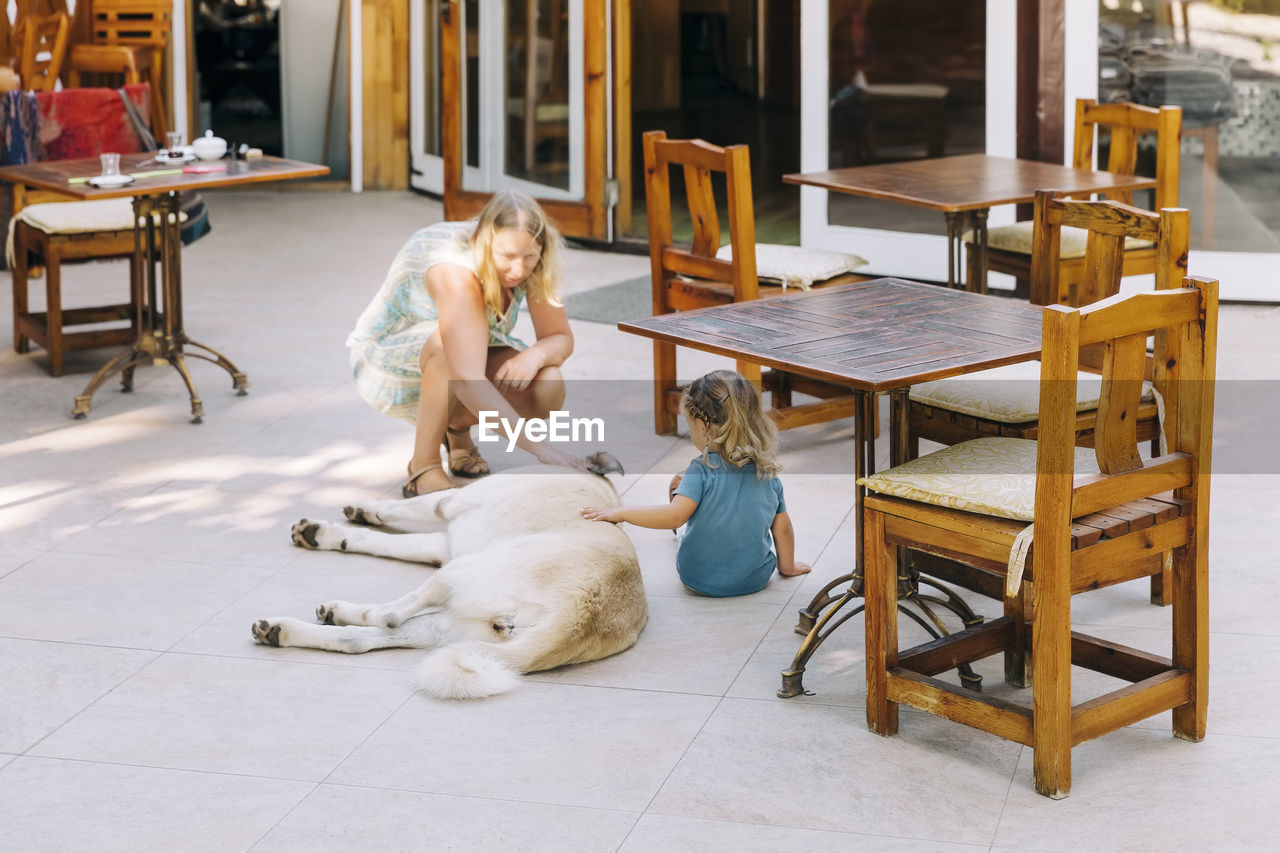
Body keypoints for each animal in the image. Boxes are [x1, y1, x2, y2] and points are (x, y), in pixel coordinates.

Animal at [250, 448, 645, 696]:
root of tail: (582, 615)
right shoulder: (443, 542)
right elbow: (379, 538)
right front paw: (333, 531)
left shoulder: (446, 503)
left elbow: (399, 508)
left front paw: (361, 510)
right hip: (454, 625)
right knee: (361, 640)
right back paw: (286, 629)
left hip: (461, 572)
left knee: (390, 616)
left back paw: (342, 613)